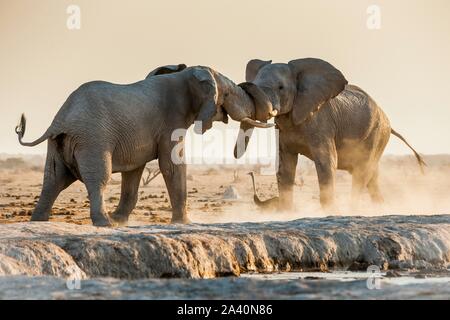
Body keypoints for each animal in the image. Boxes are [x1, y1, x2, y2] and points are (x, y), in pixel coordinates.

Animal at [15, 63, 276, 226]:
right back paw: (105, 224)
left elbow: (133, 172)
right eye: (228, 95)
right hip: (92, 138)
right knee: (97, 177)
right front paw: (185, 223)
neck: (186, 75)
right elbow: (172, 165)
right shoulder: (172, 121)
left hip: (60, 143)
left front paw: (121, 220)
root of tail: (60, 120)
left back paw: (38, 221)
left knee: (53, 179)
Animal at [236, 58, 426, 211]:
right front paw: (286, 213)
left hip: (377, 134)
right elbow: (285, 166)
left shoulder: (321, 123)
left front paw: (328, 211)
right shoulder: (283, 131)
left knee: (362, 172)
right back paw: (379, 208)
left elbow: (326, 162)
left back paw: (353, 210)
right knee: (372, 176)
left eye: (281, 87)